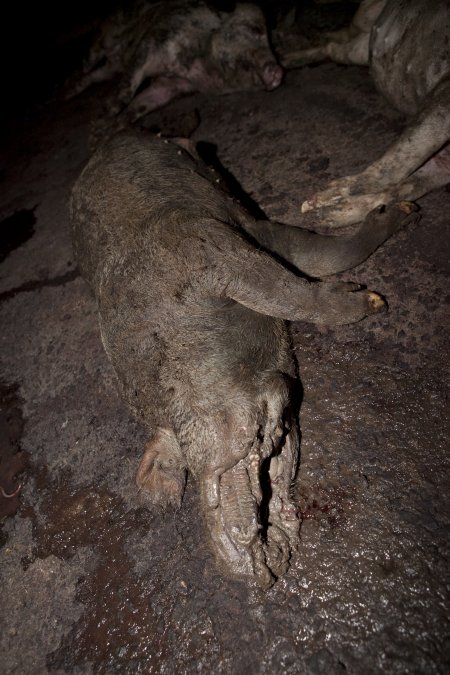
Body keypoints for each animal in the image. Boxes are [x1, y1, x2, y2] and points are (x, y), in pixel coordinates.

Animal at [65, 0, 283, 127]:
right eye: (256, 29)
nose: (278, 71)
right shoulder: (153, 42)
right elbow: (131, 81)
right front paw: (106, 113)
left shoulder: (172, 86)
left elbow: (143, 103)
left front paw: (114, 126)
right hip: (106, 37)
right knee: (89, 60)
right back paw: (68, 92)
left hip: (111, 68)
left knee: (95, 76)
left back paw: (70, 94)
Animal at [71, 131, 417, 586]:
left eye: (169, 407)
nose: (242, 567)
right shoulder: (221, 244)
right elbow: (299, 278)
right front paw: (373, 296)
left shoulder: (215, 243)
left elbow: (300, 278)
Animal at [279, 0, 450, 227]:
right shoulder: (444, 94)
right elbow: (404, 155)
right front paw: (325, 197)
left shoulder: (442, 166)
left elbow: (407, 187)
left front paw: (330, 214)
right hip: (365, 18)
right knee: (338, 41)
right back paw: (283, 59)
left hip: (360, 49)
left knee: (336, 47)